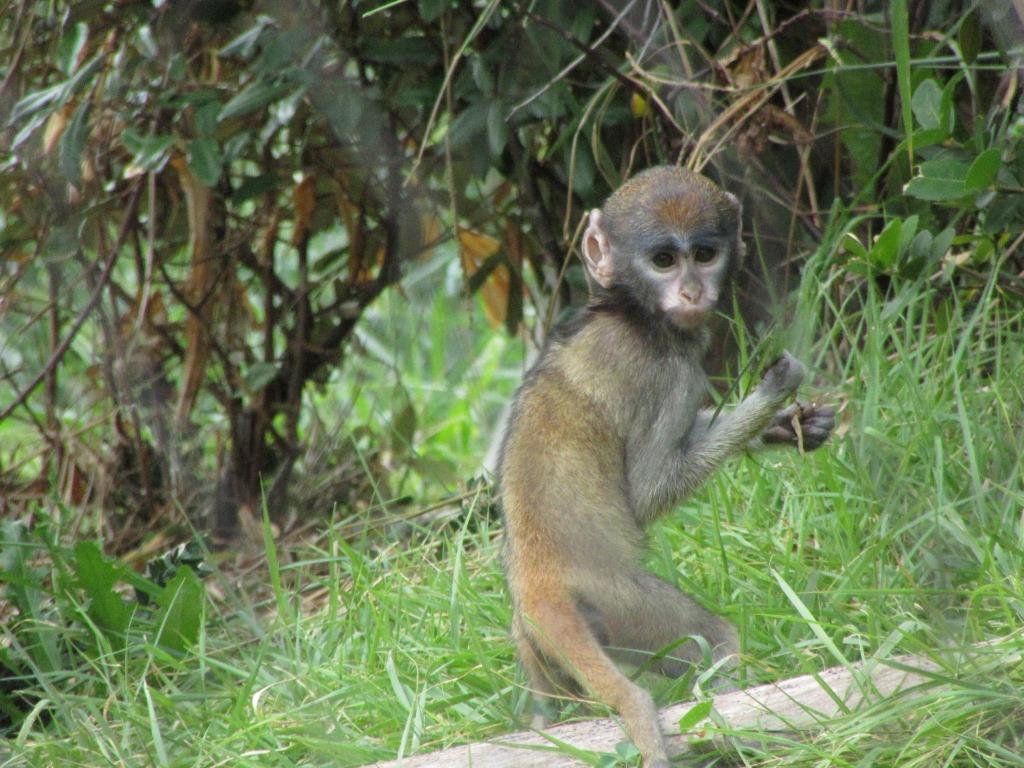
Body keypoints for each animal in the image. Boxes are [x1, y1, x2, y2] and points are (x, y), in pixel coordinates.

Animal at [499, 166, 835, 768]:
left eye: (703, 254)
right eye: (663, 261)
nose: (692, 293)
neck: (629, 310)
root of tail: (538, 586)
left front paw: (790, 425)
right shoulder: (664, 373)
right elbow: (650, 490)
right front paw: (774, 394)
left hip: (545, 639)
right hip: (621, 604)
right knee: (715, 638)